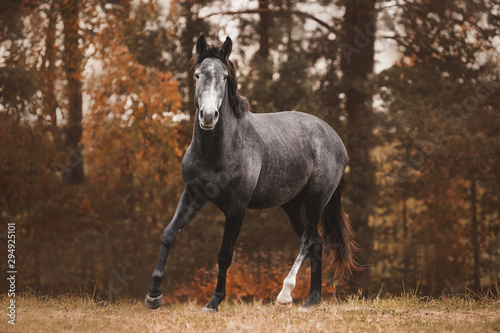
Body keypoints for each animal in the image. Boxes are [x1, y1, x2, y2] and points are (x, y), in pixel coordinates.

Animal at [144, 34, 356, 312]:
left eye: (225, 77)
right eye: (198, 75)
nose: (209, 116)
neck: (219, 150)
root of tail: (334, 137)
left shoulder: (236, 208)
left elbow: (225, 254)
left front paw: (214, 301)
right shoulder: (192, 195)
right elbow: (169, 234)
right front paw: (153, 295)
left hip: (316, 199)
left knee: (307, 241)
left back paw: (285, 297)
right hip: (293, 204)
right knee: (317, 243)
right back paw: (312, 300)